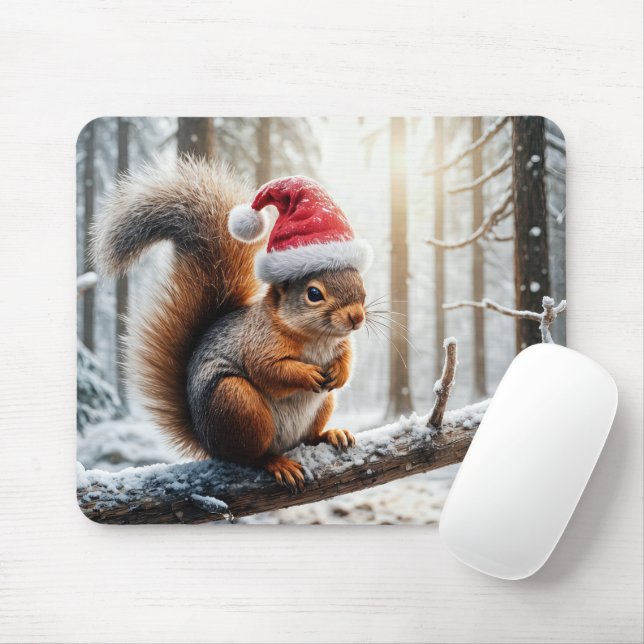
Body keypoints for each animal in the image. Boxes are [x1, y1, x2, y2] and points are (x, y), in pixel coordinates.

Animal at [93, 157, 374, 490]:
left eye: (361, 286)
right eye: (314, 294)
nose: (356, 317)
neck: (317, 337)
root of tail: (207, 442)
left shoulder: (342, 343)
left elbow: (347, 359)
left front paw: (338, 372)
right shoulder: (257, 341)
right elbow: (269, 369)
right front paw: (306, 374)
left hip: (321, 405)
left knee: (308, 437)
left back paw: (331, 434)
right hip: (237, 403)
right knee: (249, 456)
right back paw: (276, 462)